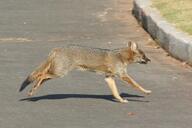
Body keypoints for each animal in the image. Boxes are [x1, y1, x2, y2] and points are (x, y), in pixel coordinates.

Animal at [19, 41, 152, 103]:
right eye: (144, 56)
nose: (149, 60)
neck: (121, 56)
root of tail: (57, 48)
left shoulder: (109, 78)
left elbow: (115, 93)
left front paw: (120, 100)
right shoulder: (123, 76)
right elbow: (137, 85)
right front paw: (146, 91)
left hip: (56, 73)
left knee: (40, 77)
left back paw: (32, 90)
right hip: (59, 73)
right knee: (40, 75)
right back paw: (33, 90)